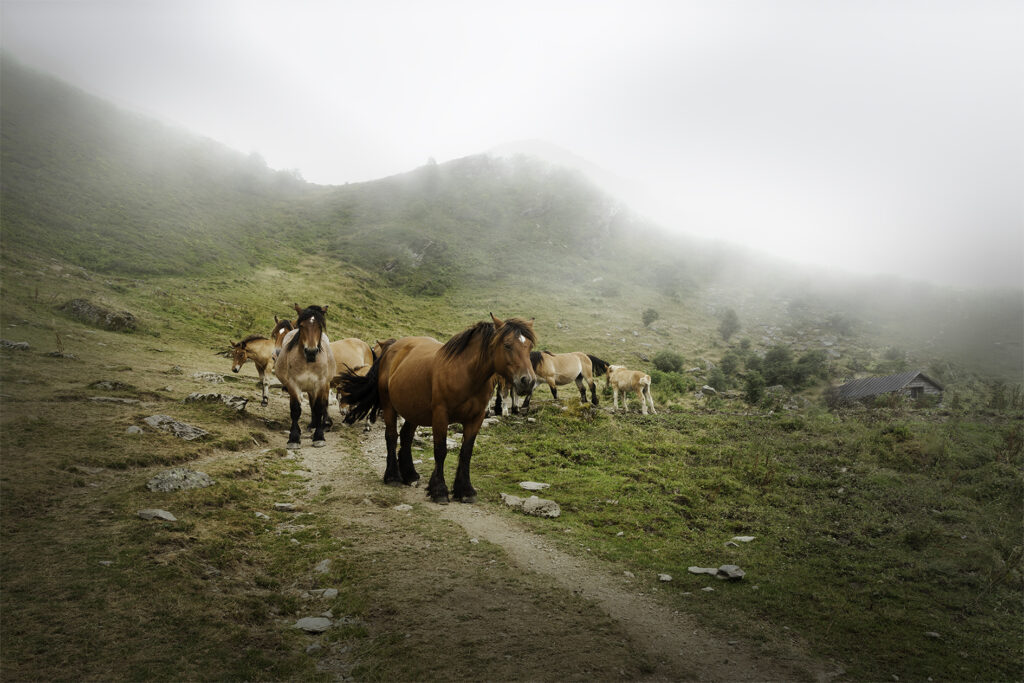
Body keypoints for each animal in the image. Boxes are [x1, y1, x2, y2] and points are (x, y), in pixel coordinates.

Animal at [273, 304, 337, 448]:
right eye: (301, 326)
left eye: (320, 326)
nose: (311, 352)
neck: (308, 362)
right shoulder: (293, 385)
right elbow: (296, 410)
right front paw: (294, 438)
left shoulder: (320, 384)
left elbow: (319, 407)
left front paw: (319, 436)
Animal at [339, 315, 535, 504]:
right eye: (507, 345)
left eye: (529, 347)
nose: (528, 381)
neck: (466, 374)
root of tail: (392, 349)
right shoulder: (441, 416)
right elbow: (440, 451)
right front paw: (439, 491)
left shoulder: (476, 418)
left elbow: (466, 452)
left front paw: (465, 491)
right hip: (389, 407)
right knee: (392, 437)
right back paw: (393, 476)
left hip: (413, 410)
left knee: (406, 436)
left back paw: (410, 474)